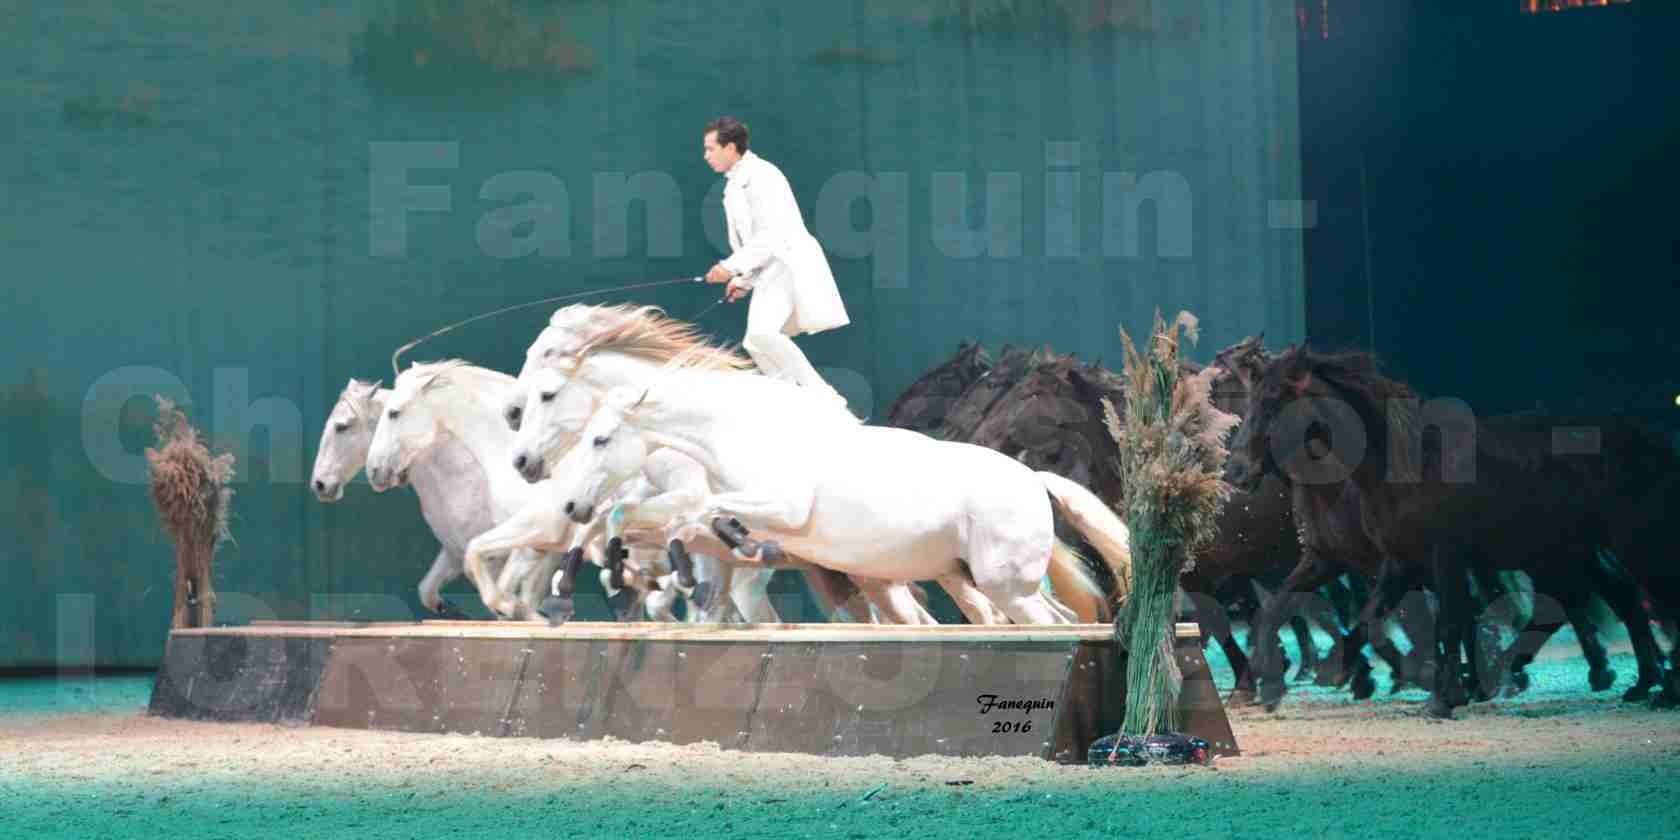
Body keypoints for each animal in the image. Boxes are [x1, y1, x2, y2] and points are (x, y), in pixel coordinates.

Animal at [544, 371, 1135, 628]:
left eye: (601, 440)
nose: (571, 506)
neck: (740, 432)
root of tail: (1034, 479)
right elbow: (645, 520)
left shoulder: (779, 509)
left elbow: (702, 516)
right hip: (969, 577)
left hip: (1004, 583)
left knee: (1050, 623)